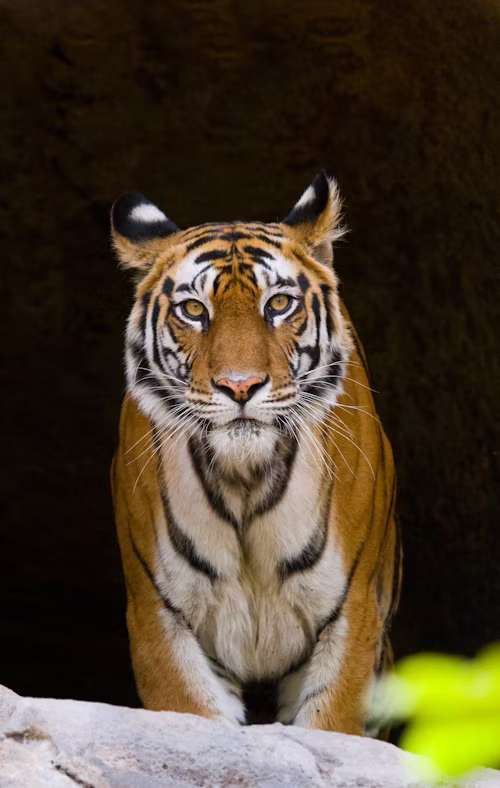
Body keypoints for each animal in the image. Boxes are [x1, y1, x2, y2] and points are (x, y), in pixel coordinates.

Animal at [110, 171, 401, 735]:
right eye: (194, 310)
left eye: (279, 304)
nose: (240, 386)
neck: (244, 478)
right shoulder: (158, 614)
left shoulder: (352, 612)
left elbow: (330, 725)